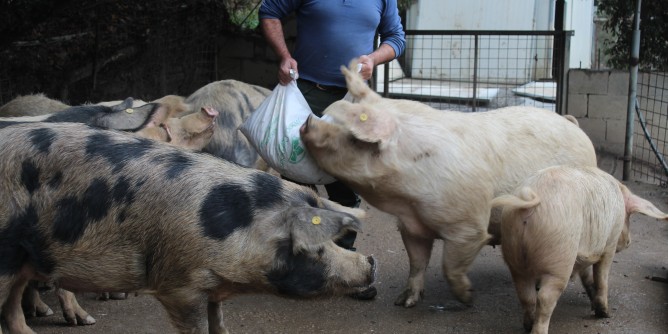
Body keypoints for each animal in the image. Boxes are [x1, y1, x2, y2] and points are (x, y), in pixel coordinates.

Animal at [0, 122, 376, 334]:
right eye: (317, 247)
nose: (372, 263)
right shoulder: (179, 285)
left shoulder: (212, 287)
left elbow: (219, 324)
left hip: (22, 260)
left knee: (13, 312)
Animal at [490, 165, 668, 334]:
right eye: (629, 216)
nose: (629, 242)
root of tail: (530, 202)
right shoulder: (610, 243)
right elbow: (602, 277)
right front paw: (605, 314)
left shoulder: (584, 252)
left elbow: (587, 276)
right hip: (560, 257)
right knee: (545, 298)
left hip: (513, 253)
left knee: (526, 295)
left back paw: (527, 325)